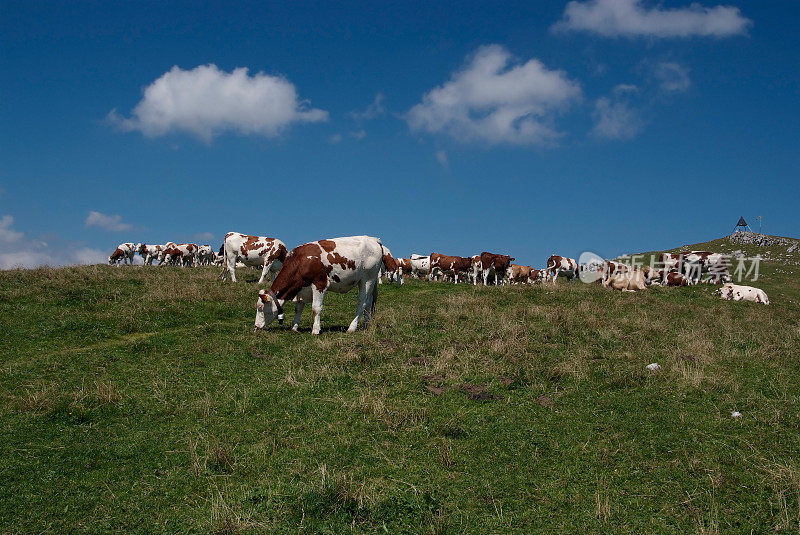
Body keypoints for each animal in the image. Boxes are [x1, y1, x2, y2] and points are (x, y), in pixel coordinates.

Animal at [252, 236, 386, 336]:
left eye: (260, 307)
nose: (256, 327)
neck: (300, 261)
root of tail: (373, 239)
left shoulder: (320, 284)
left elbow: (316, 308)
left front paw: (316, 330)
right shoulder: (301, 289)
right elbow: (298, 308)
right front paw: (294, 327)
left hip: (367, 279)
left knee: (362, 302)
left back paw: (352, 327)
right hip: (369, 281)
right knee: (369, 302)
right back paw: (365, 325)